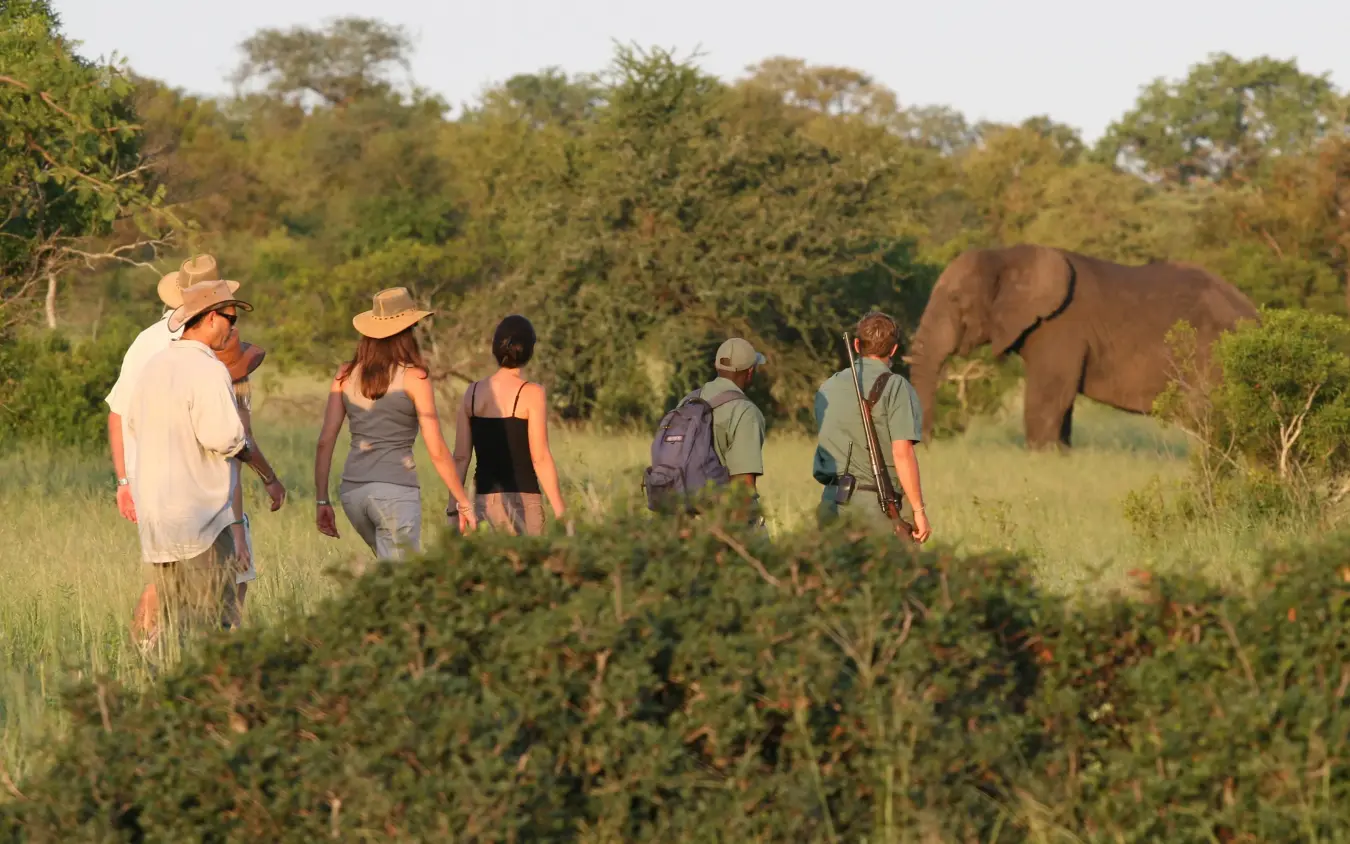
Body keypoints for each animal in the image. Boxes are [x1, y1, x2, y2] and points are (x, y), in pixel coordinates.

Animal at [907, 244, 1260, 450]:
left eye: (956, 299)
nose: (925, 445)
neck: (1009, 255)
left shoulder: (1061, 327)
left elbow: (1049, 397)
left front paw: (1041, 459)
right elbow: (1061, 405)